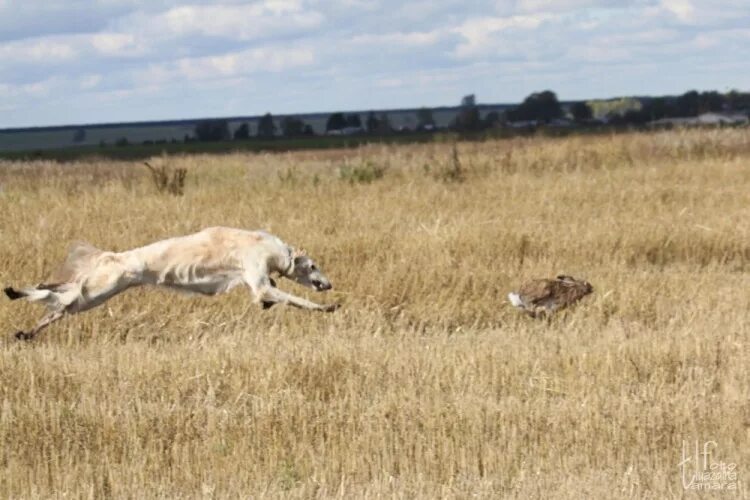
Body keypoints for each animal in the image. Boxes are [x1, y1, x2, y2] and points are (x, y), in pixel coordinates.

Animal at [4, 229, 340, 342]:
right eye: (313, 266)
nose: (328, 284)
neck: (273, 249)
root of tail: (111, 256)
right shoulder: (257, 272)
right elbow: (295, 299)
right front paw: (327, 307)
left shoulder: (258, 281)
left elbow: (269, 296)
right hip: (98, 290)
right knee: (57, 299)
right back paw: (17, 296)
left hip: (94, 290)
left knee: (56, 297)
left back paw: (24, 325)